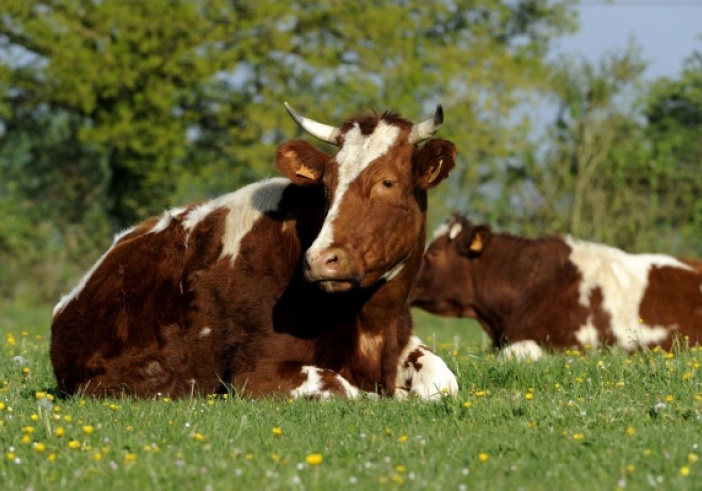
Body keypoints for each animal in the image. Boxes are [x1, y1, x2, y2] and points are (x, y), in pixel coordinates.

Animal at [50, 102, 460, 400]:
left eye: (388, 182)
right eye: (326, 186)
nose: (320, 260)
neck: (371, 323)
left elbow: (443, 382)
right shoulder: (253, 373)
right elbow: (350, 391)